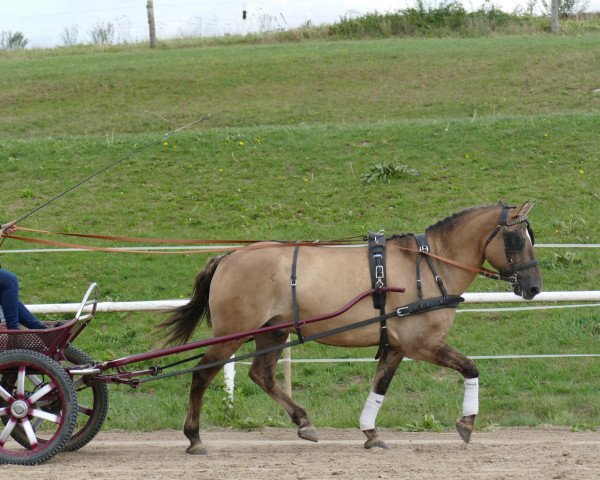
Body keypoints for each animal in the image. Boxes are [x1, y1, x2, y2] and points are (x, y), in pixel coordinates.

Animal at [159, 202, 544, 454]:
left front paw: (370, 432)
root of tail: (229, 256)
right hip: (232, 333)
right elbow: (470, 367)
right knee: (201, 374)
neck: (428, 264)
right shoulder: (423, 344)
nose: (534, 287)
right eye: (517, 239)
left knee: (261, 375)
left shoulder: (396, 347)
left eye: (531, 236)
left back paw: (303, 422)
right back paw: (194, 437)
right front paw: (466, 423)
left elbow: (379, 386)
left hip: (272, 331)